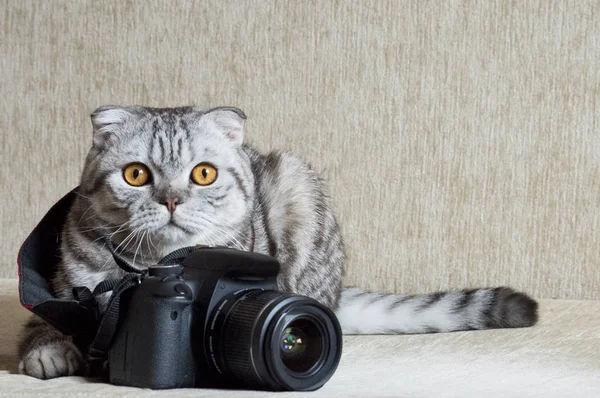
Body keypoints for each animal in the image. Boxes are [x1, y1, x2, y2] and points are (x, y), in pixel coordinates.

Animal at [18, 106, 536, 380]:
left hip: (297, 183)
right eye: (135, 175)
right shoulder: (66, 278)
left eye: (202, 174)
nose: (171, 199)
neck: (153, 266)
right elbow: (42, 320)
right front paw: (49, 350)